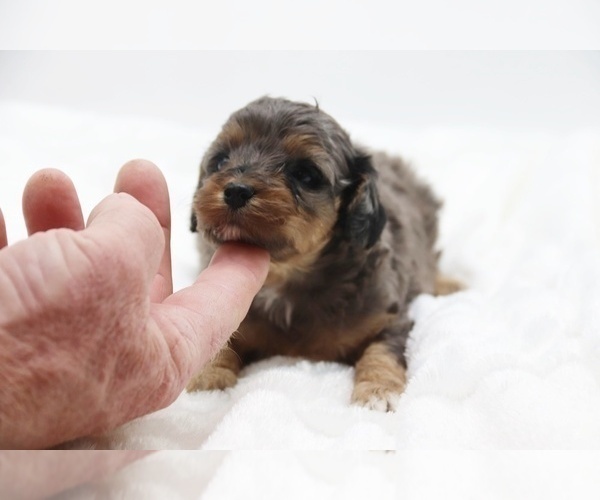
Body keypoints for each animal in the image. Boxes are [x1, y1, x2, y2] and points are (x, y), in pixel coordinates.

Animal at [188, 94, 460, 410]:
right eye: (221, 160)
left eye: (305, 174)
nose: (235, 191)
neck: (286, 275)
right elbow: (219, 339)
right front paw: (207, 379)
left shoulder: (388, 318)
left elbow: (382, 352)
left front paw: (377, 390)